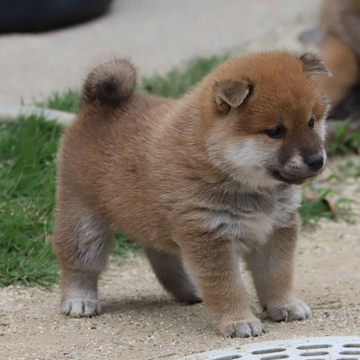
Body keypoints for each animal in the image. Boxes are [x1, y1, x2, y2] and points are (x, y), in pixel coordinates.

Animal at [52, 51, 330, 338]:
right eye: (275, 131)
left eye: (311, 122)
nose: (316, 160)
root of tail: (92, 106)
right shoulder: (210, 235)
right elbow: (227, 286)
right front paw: (238, 320)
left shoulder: (276, 229)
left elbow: (277, 275)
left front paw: (284, 305)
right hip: (83, 220)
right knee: (79, 263)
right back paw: (79, 299)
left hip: (153, 221)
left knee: (164, 259)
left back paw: (190, 290)